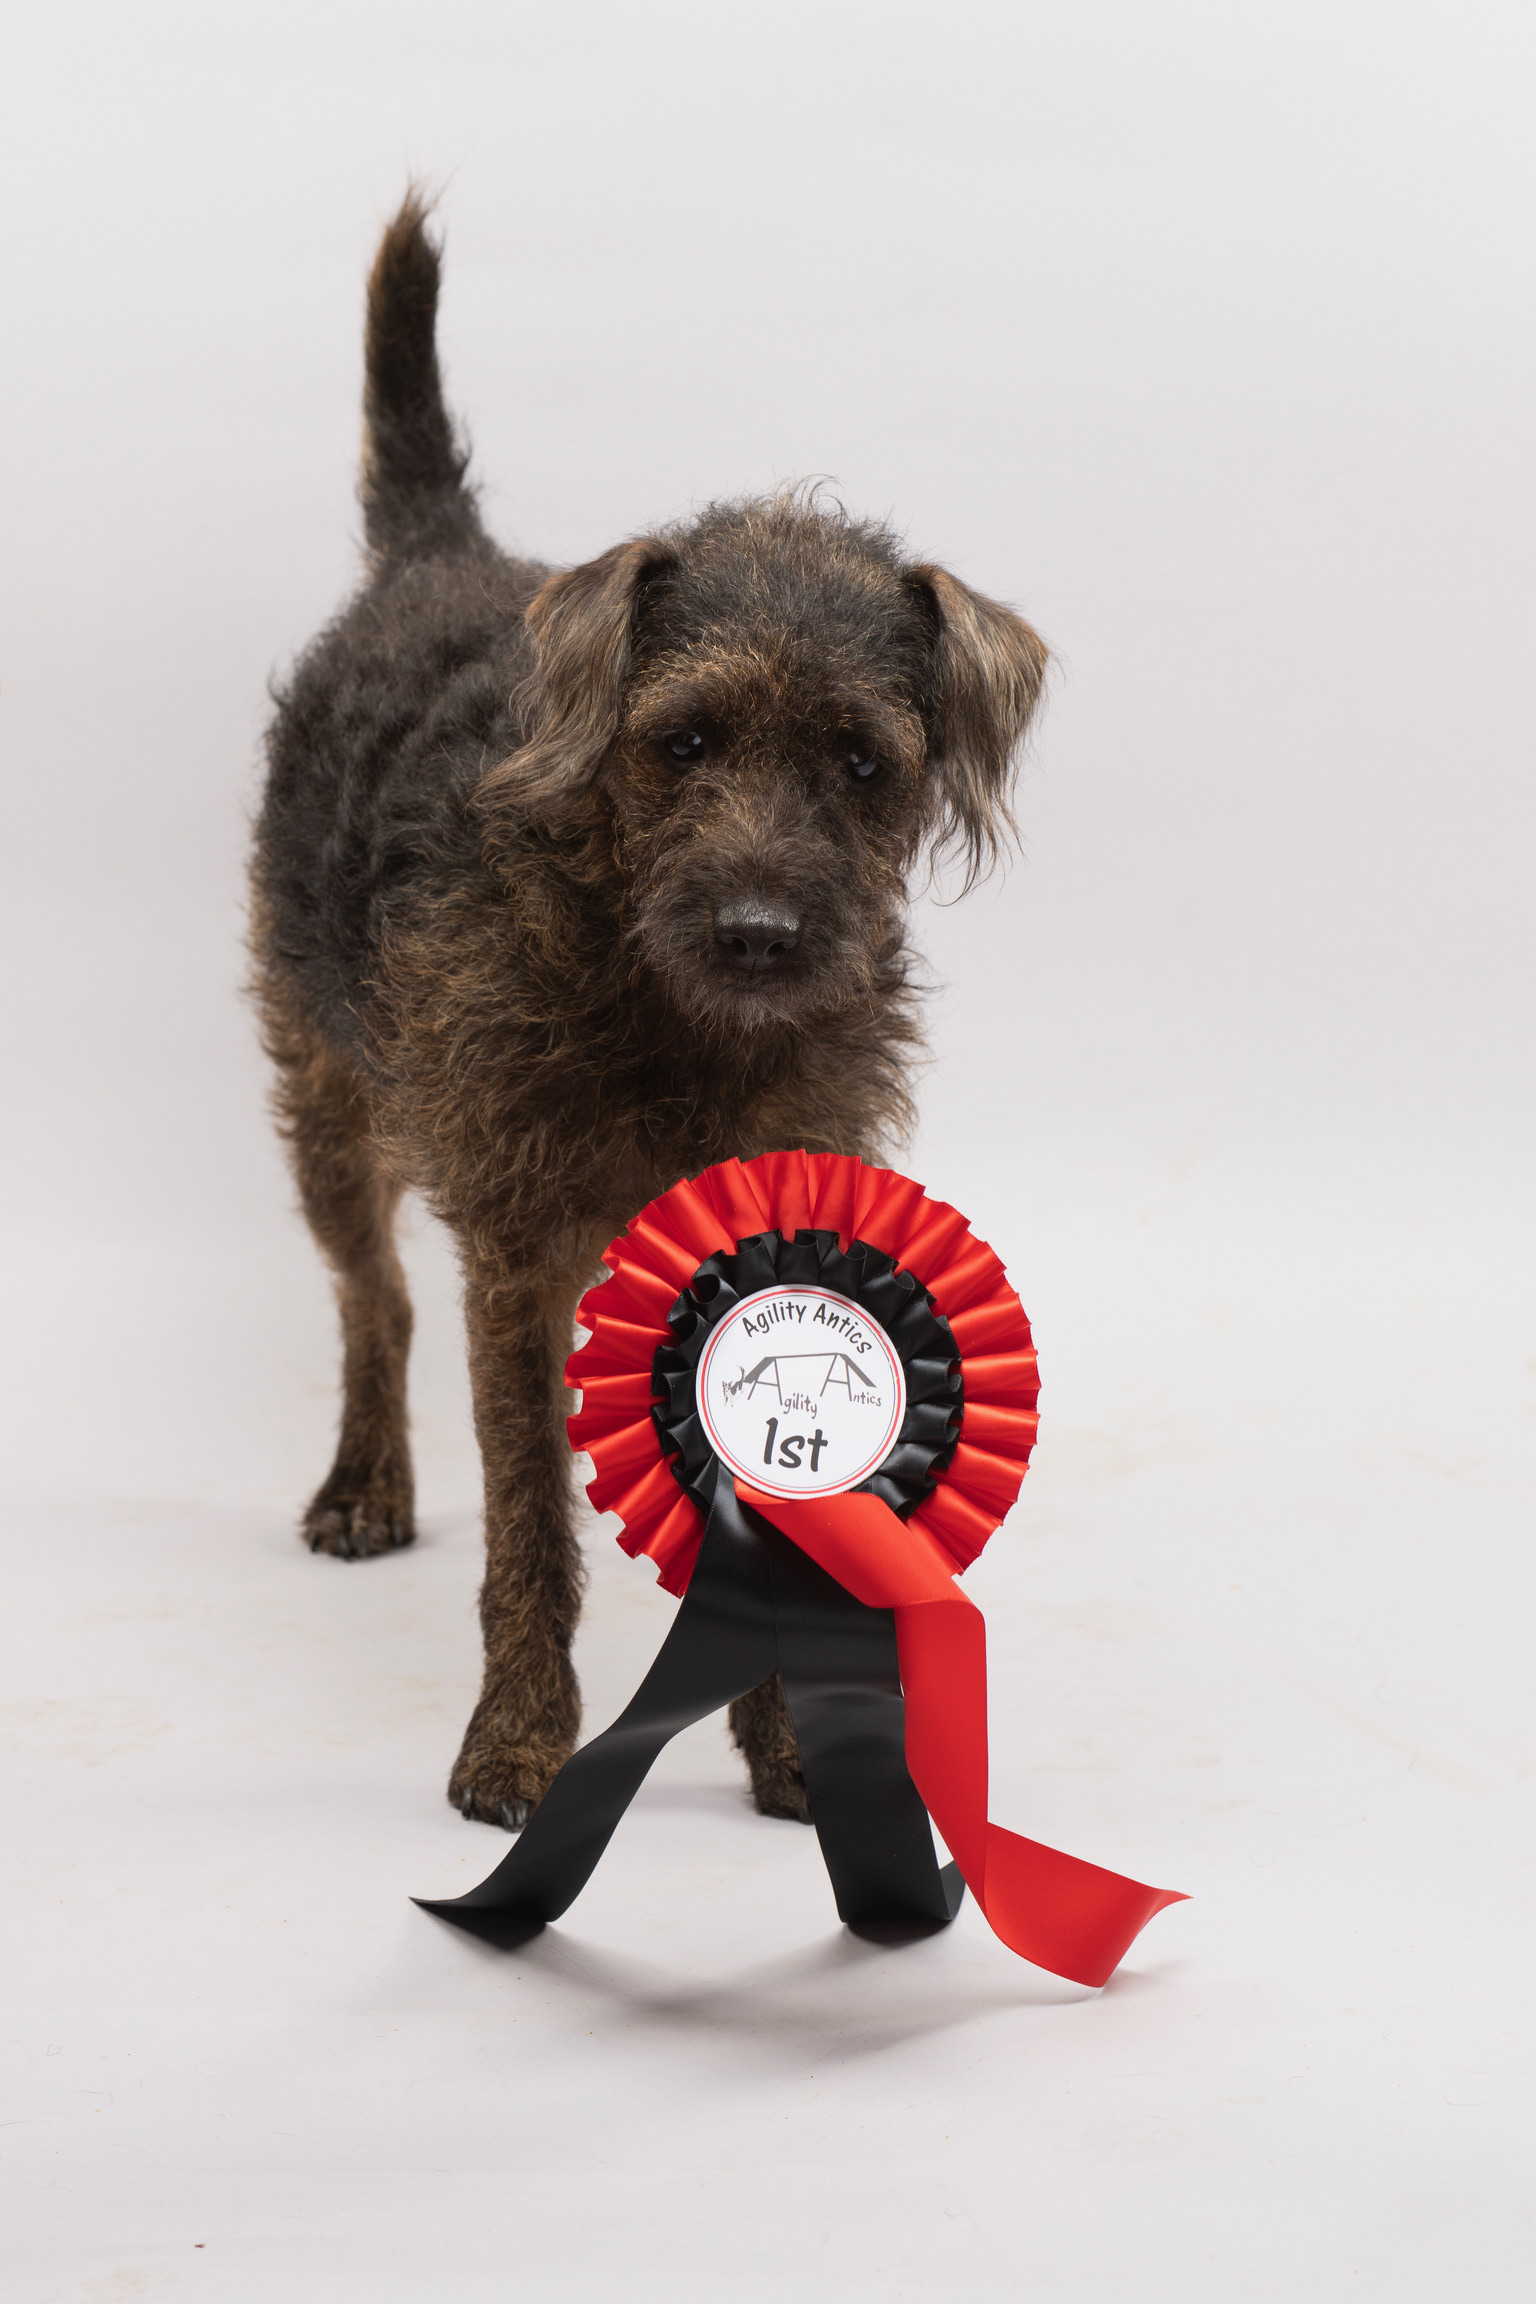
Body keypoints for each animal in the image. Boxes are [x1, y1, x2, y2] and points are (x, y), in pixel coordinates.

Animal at [251, 192, 1048, 1830]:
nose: (759, 934)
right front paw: (518, 1742)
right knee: (373, 1295)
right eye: (680, 741)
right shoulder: (511, 1256)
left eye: (862, 763)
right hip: (323, 1095)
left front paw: (802, 1749)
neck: (658, 991)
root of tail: (442, 555)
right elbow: (525, 1527)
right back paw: (366, 1483)